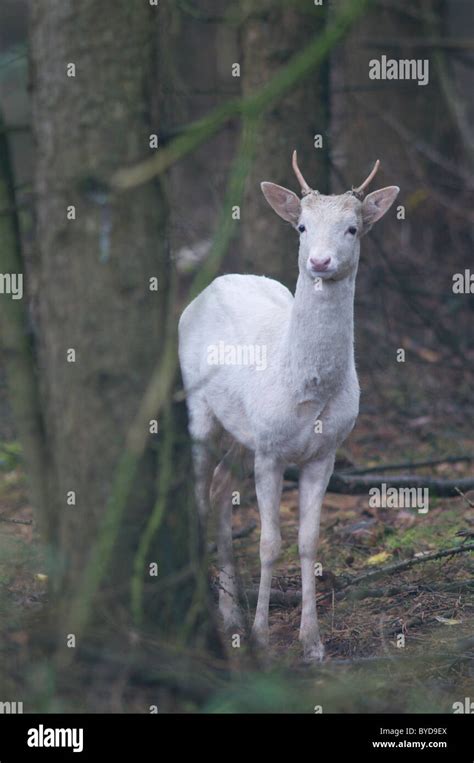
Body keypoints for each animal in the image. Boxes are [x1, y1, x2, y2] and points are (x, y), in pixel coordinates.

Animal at [180, 152, 398, 660]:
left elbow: (307, 543)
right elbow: (268, 542)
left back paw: (231, 613)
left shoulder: (325, 452)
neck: (308, 388)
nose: (320, 260)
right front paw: (263, 637)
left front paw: (312, 643)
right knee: (199, 493)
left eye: (352, 228)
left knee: (220, 486)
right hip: (202, 410)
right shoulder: (271, 450)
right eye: (301, 226)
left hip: (243, 431)